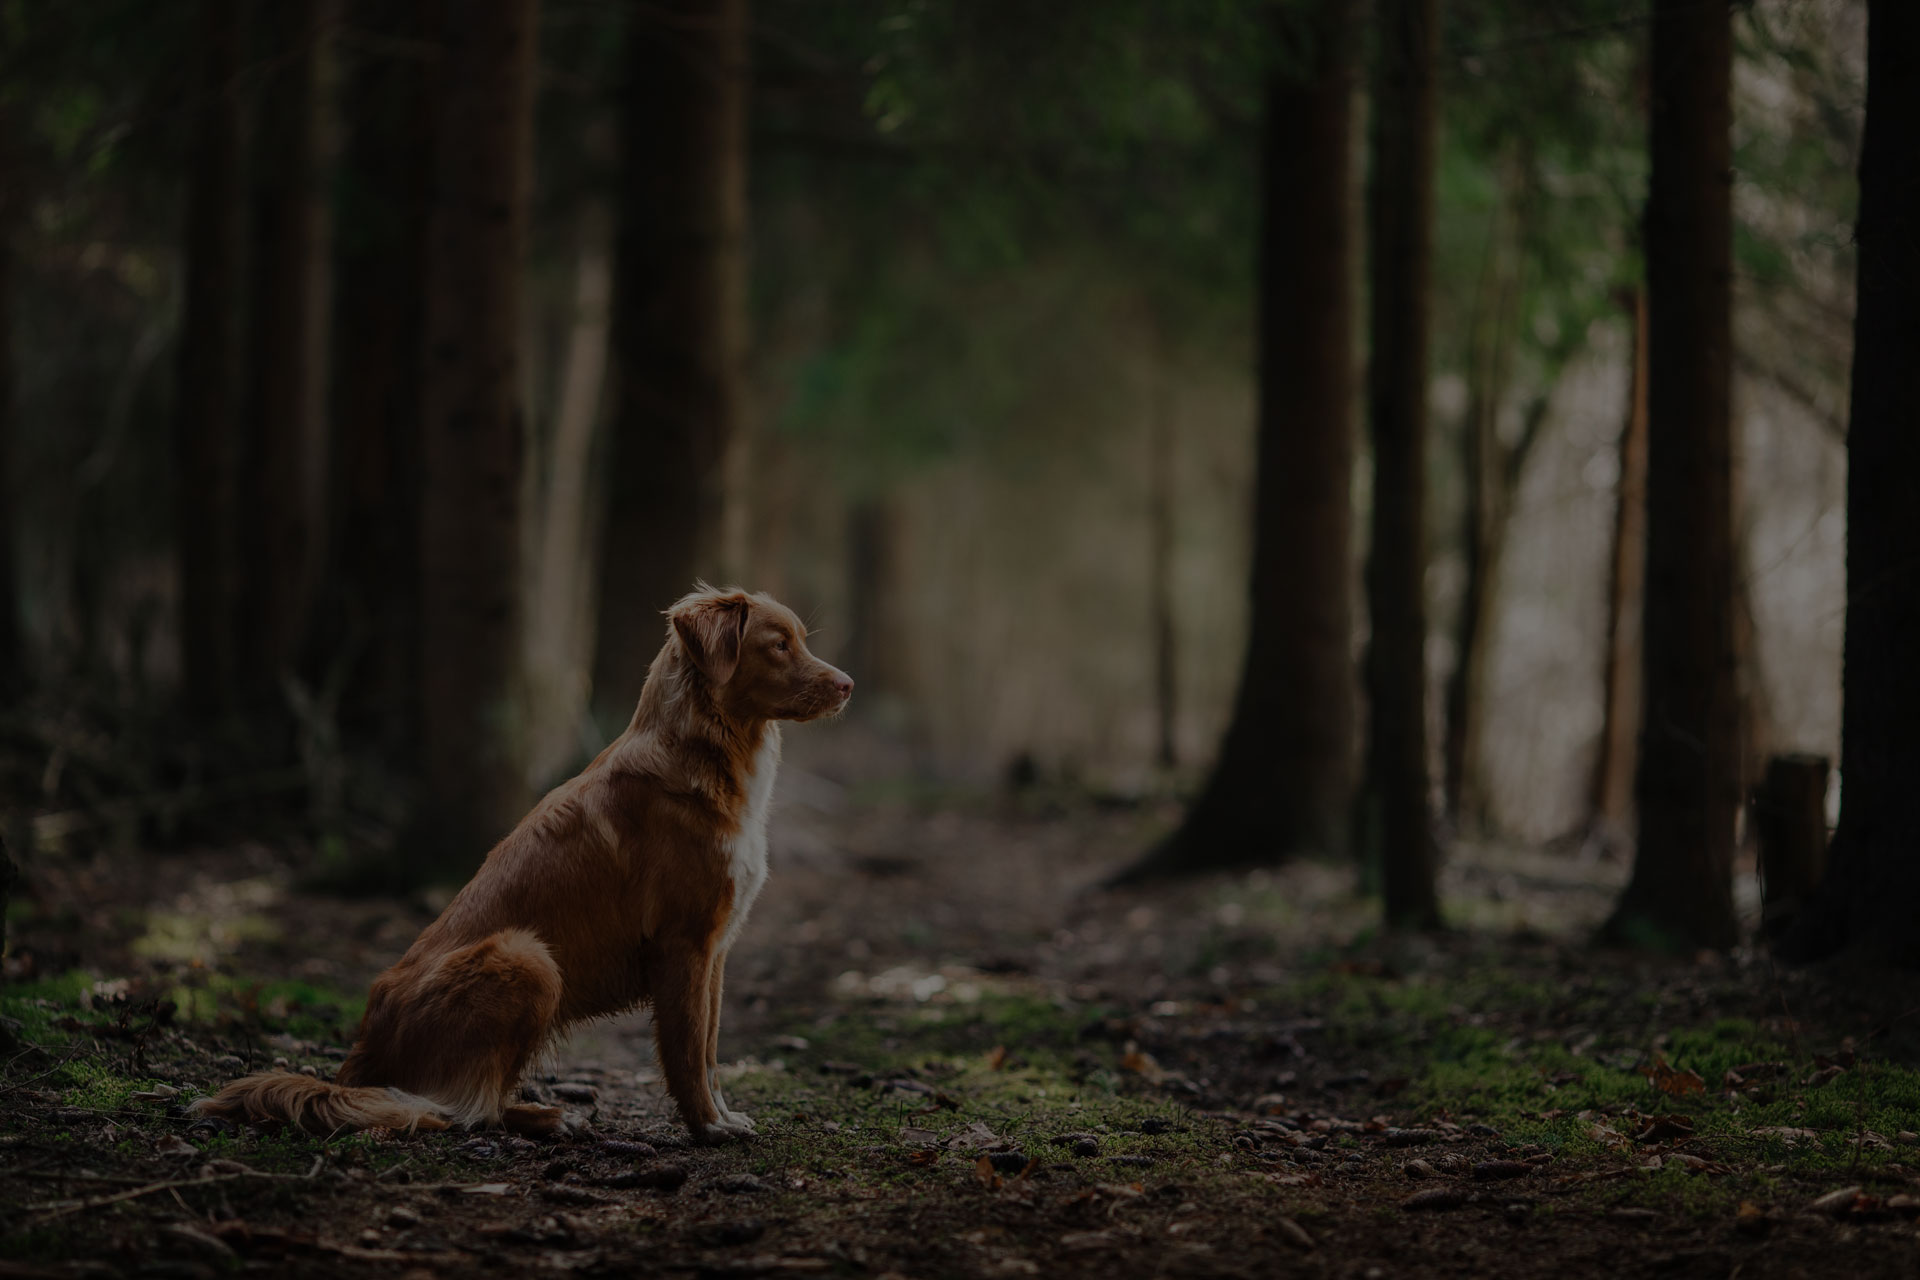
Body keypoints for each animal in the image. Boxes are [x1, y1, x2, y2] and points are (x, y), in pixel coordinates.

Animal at [196, 587, 856, 1143]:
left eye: (802, 639)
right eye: (778, 644)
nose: (849, 684)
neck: (706, 752)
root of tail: (357, 1062)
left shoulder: (714, 950)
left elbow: (713, 1051)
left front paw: (722, 1116)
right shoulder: (684, 945)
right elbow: (689, 1052)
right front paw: (707, 1128)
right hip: (527, 957)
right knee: (463, 1108)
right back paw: (543, 1116)